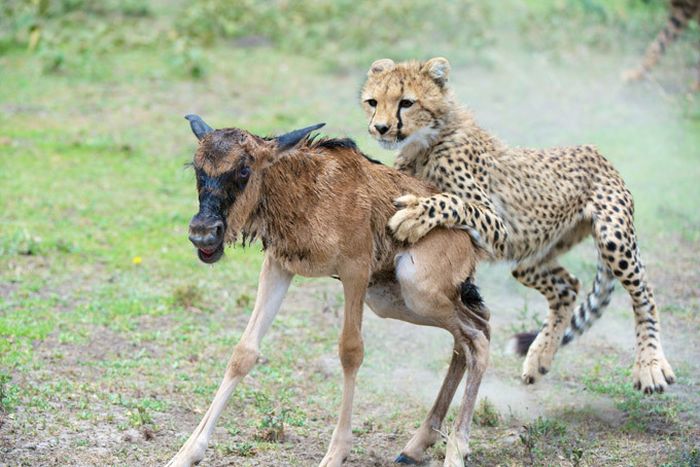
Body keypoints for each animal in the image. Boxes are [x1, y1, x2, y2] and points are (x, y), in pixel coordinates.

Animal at [360, 58, 672, 394]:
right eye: (373, 102)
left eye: (406, 102)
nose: (380, 127)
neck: (427, 141)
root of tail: (594, 150)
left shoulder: (498, 226)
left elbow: (452, 201)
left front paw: (415, 215)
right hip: (529, 255)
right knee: (568, 286)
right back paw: (539, 356)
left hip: (613, 239)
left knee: (644, 292)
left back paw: (650, 365)